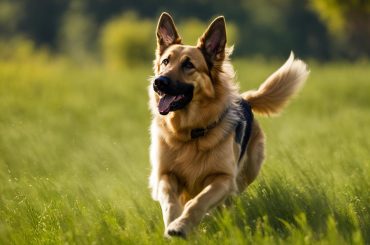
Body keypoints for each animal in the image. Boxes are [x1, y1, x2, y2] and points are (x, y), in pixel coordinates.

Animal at [148, 12, 310, 238]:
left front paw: (182, 225)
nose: (159, 82)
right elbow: (171, 202)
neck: (189, 133)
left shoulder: (224, 178)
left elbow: (199, 201)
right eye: (165, 61)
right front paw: (174, 223)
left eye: (188, 65)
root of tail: (245, 98)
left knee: (225, 202)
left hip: (246, 173)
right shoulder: (164, 175)